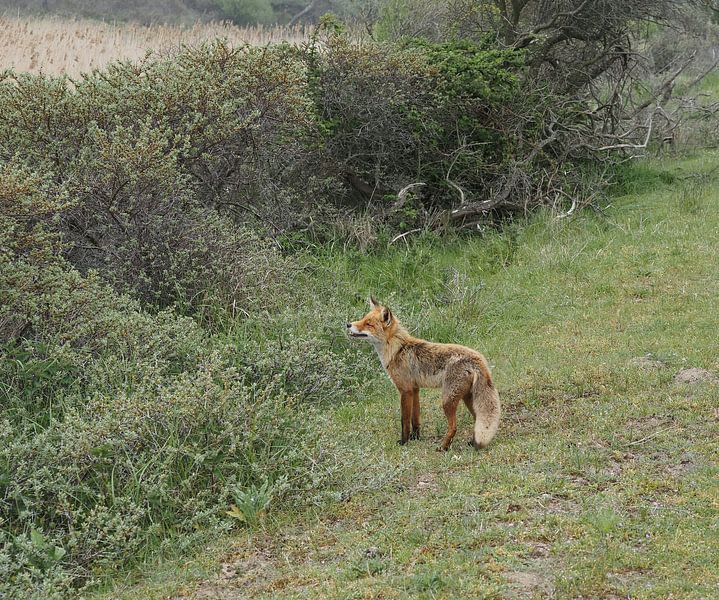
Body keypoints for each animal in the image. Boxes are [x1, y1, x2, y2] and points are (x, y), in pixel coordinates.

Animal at [347, 298, 500, 451]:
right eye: (363, 319)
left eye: (368, 324)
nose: (348, 324)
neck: (397, 350)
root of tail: (478, 358)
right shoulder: (415, 389)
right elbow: (415, 418)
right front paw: (416, 437)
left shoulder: (405, 390)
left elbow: (404, 420)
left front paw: (404, 441)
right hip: (467, 398)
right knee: (476, 419)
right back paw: (472, 443)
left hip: (447, 400)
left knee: (453, 427)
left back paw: (443, 447)